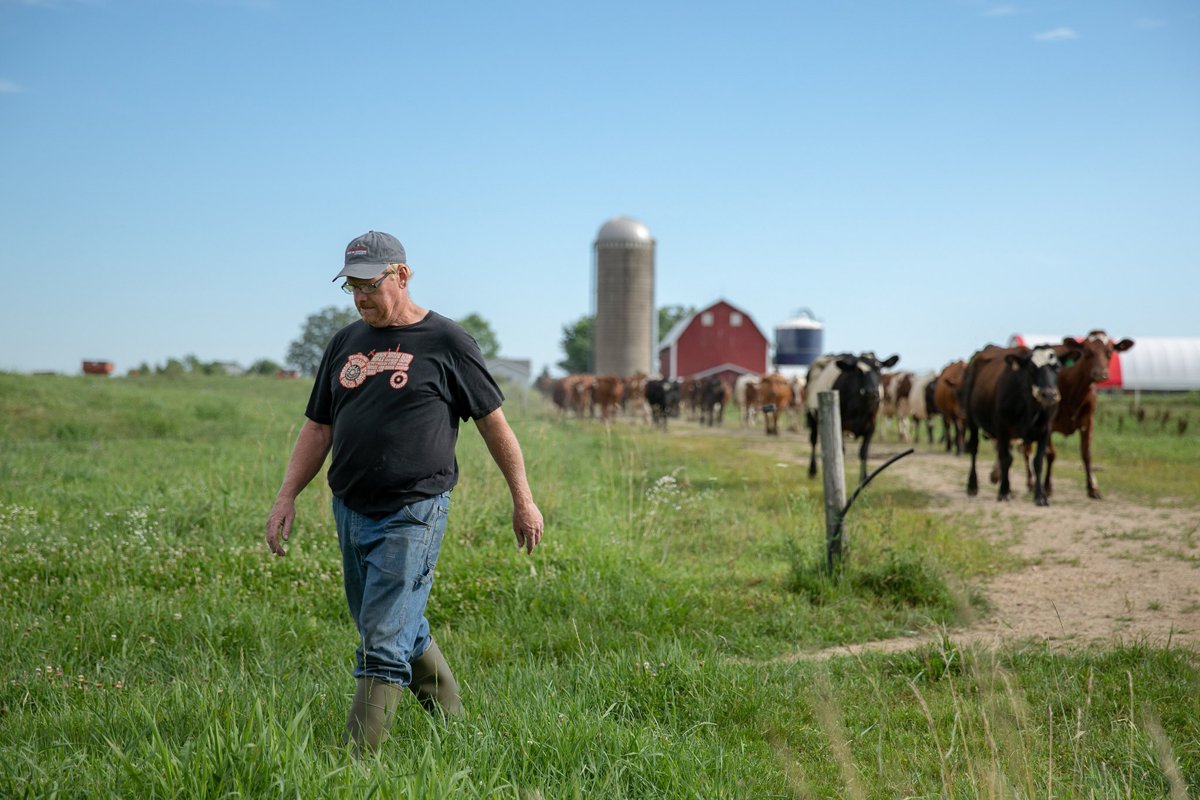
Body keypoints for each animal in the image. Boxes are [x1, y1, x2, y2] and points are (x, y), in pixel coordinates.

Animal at [1022, 328, 1132, 496]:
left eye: (1109, 351)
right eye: (1087, 351)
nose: (1100, 373)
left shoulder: (1088, 421)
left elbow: (1086, 453)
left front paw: (1093, 487)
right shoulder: (1048, 423)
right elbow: (1050, 454)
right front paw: (1047, 486)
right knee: (1027, 450)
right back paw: (1031, 482)